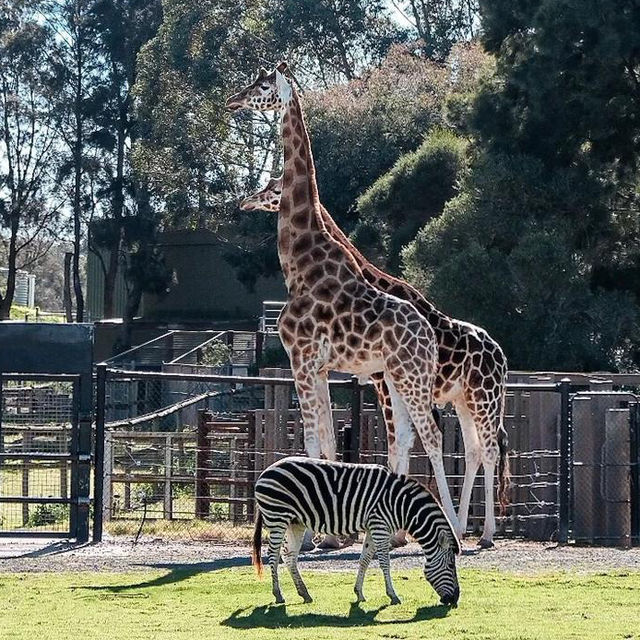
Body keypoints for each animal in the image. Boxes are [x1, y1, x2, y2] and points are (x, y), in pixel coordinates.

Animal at [224, 63, 460, 536]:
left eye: (262, 84)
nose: (231, 100)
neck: (299, 260)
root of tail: (428, 334)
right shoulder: (319, 366)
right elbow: (329, 438)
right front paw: (326, 530)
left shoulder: (300, 358)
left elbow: (314, 437)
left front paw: (314, 534)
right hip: (395, 378)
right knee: (410, 436)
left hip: (408, 378)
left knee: (431, 435)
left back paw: (453, 526)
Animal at [240, 172, 510, 548]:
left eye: (274, 188)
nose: (247, 202)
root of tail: (502, 354)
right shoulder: (379, 381)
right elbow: (391, 442)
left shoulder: (382, 382)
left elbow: (398, 444)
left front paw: (389, 533)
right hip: (462, 401)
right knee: (472, 450)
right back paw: (465, 527)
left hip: (485, 398)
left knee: (488, 450)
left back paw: (484, 533)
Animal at [250, 456, 460, 604]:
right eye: (451, 566)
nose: (455, 600)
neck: (401, 504)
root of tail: (266, 471)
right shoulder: (380, 526)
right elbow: (385, 562)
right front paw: (393, 595)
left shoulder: (373, 527)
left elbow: (364, 560)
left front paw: (359, 593)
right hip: (277, 516)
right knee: (273, 554)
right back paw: (278, 594)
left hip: (295, 522)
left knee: (289, 556)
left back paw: (305, 593)